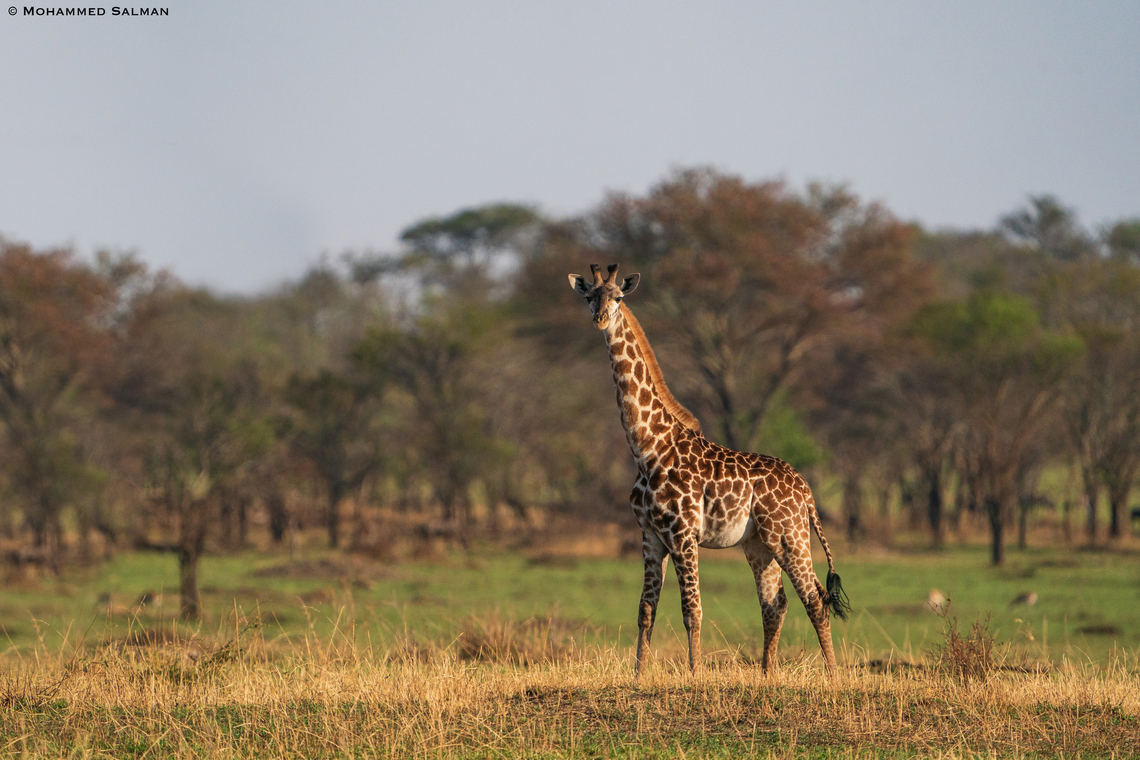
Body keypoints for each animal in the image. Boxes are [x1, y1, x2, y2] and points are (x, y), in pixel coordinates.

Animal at [568, 264, 851, 677]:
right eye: (590, 296)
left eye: (618, 297)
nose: (600, 319)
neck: (647, 448)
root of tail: (806, 490)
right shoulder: (650, 535)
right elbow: (645, 610)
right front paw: (638, 675)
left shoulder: (684, 534)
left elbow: (692, 609)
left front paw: (694, 674)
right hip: (758, 544)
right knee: (775, 603)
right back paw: (766, 675)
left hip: (789, 536)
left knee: (814, 597)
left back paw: (832, 676)